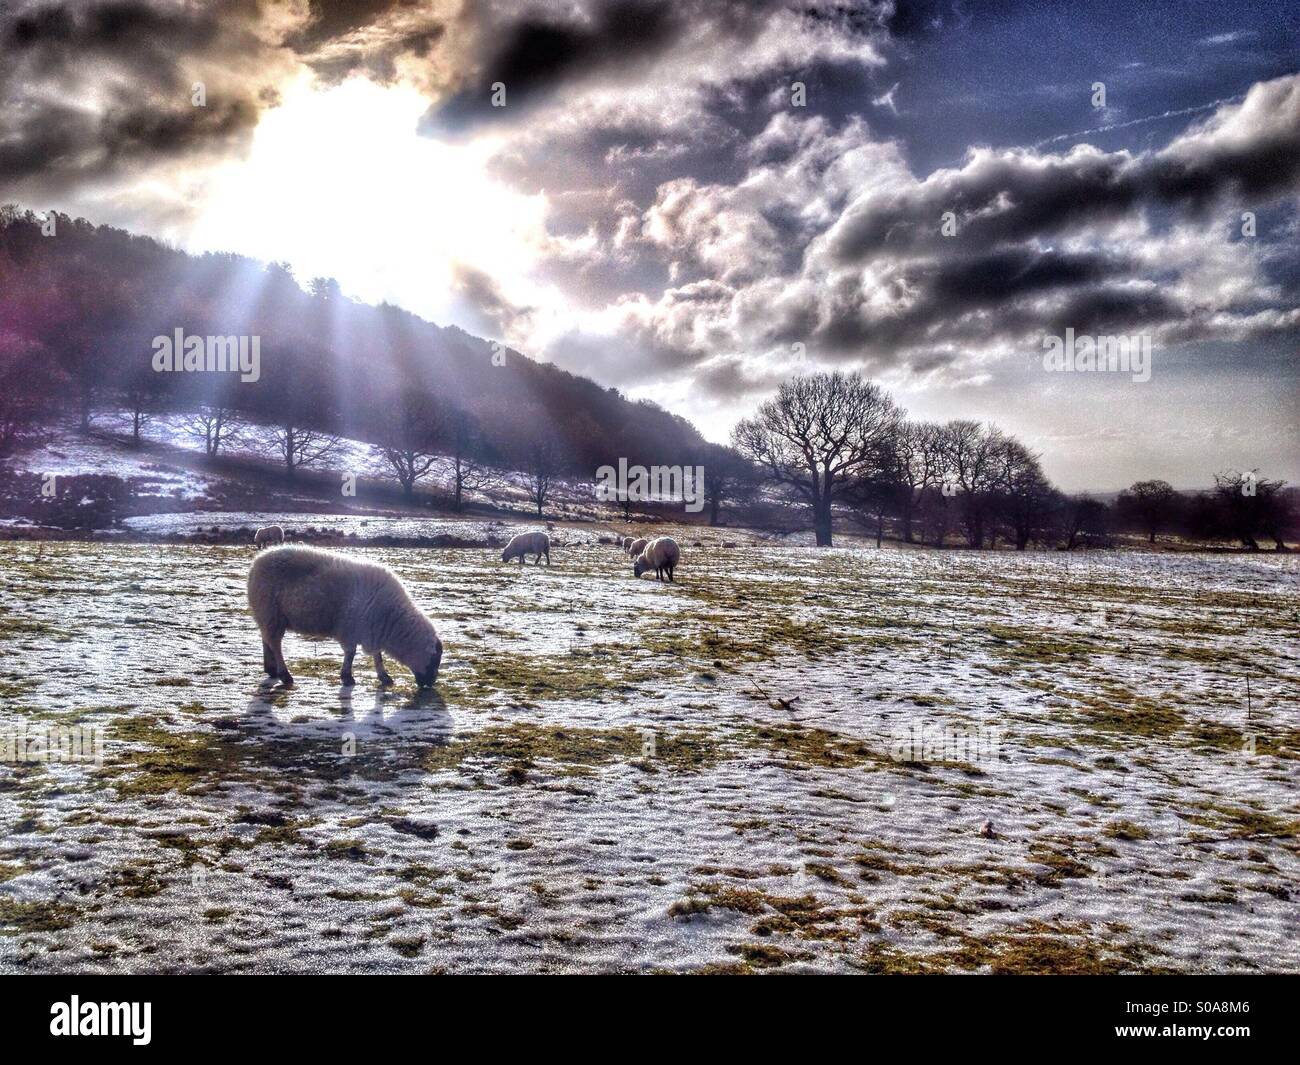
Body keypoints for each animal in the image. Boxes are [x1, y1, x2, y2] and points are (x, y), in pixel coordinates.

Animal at [247, 545, 442, 688]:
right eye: (435, 660)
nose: (430, 685)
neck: (392, 621)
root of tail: (257, 562)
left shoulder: (372, 630)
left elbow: (377, 655)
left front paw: (384, 676)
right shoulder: (350, 629)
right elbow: (351, 653)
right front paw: (347, 677)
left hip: (268, 616)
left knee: (266, 640)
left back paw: (271, 669)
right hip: (271, 612)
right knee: (275, 644)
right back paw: (285, 675)